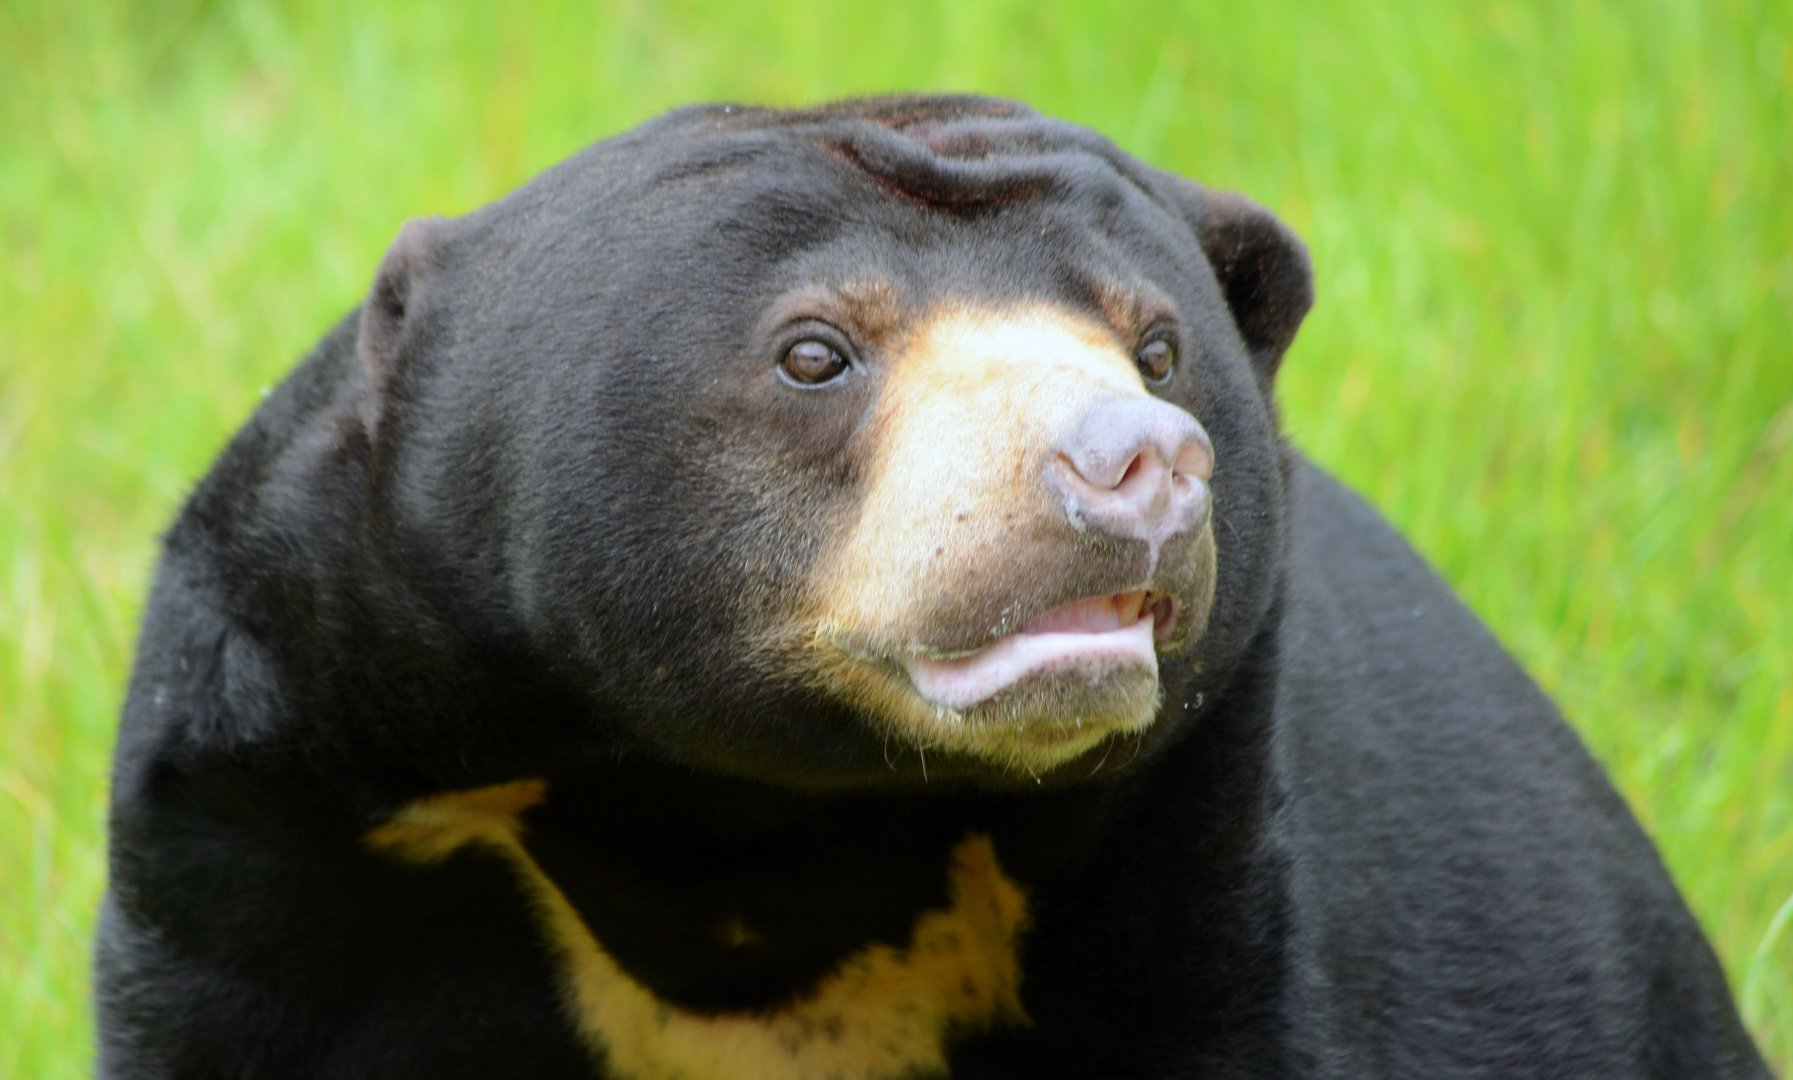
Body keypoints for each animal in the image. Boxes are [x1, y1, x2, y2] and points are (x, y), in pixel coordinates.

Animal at [96, 96, 1770, 1078]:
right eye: (814, 351)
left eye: (1157, 347)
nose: (1133, 464)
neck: (748, 822)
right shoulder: (291, 810)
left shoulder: (1191, 872)